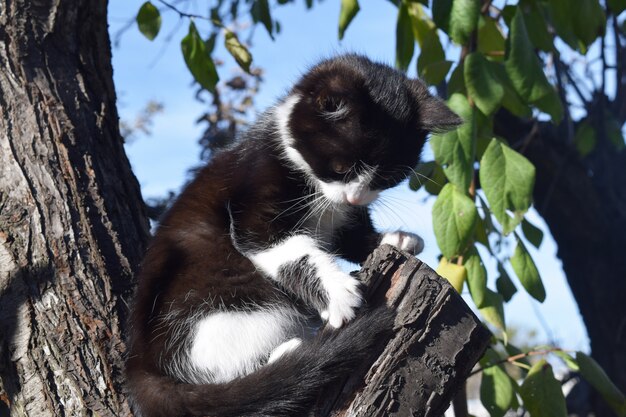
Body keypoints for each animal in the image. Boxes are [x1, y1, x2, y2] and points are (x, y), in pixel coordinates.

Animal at [124, 53, 460, 414]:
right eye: (341, 168)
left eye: (386, 179)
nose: (355, 198)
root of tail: (139, 363)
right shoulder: (256, 193)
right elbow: (282, 247)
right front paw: (339, 293)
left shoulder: (337, 215)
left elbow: (349, 235)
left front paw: (394, 239)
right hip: (221, 308)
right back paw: (288, 354)